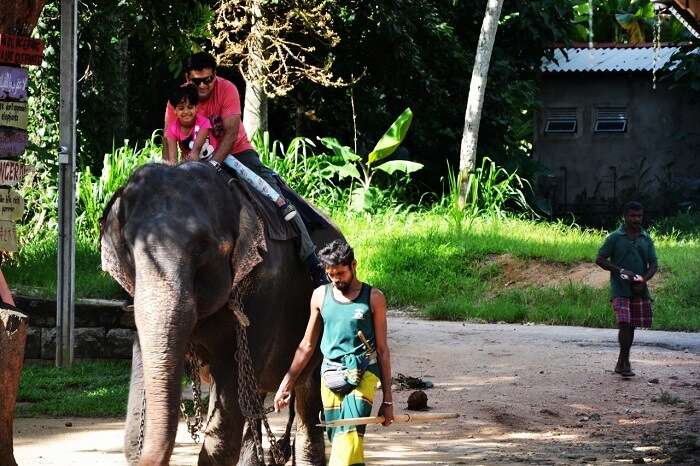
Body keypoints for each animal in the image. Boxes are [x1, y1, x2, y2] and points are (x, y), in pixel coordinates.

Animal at [99, 161, 340, 466]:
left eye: (204, 249)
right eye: (129, 248)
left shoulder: (266, 292)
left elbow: (226, 411)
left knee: (306, 396)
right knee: (255, 398)